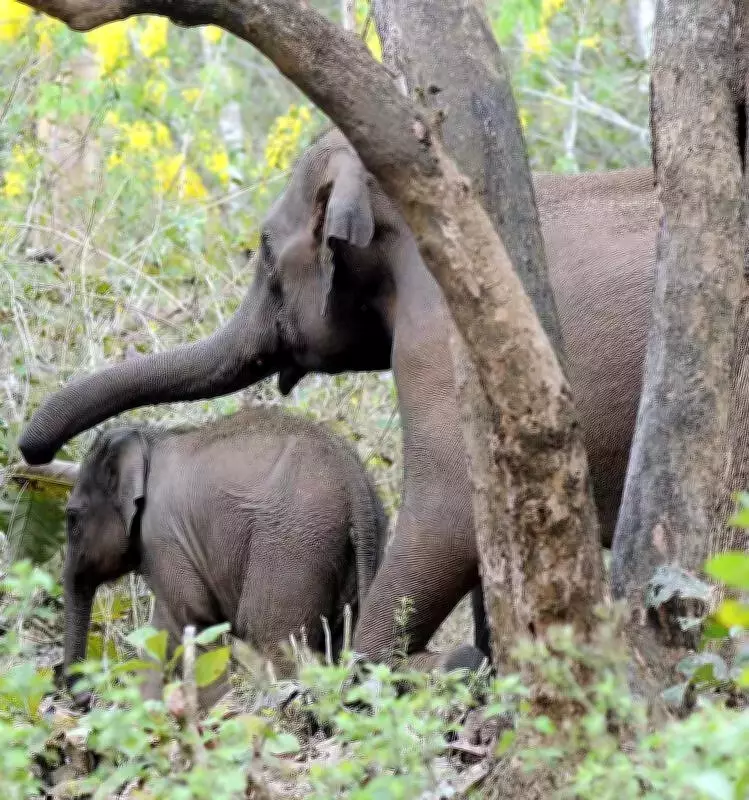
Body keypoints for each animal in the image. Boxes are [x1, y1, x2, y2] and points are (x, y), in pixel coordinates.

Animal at [62, 406, 387, 702]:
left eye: (71, 518)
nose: (86, 699)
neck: (149, 440)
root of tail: (356, 485)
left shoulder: (164, 538)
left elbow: (192, 623)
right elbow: (160, 636)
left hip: (293, 548)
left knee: (270, 636)